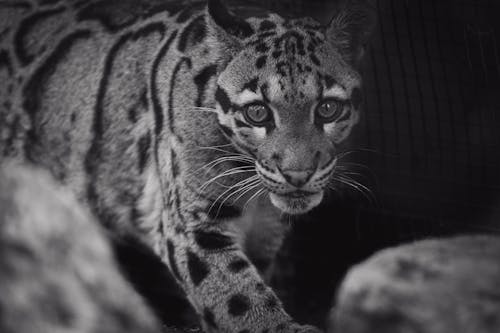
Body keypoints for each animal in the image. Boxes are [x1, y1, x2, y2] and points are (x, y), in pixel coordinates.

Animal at [0, 0, 376, 330]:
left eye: (328, 108)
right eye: (257, 112)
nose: (298, 174)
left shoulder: (266, 236)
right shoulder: (190, 224)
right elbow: (237, 296)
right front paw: (280, 327)